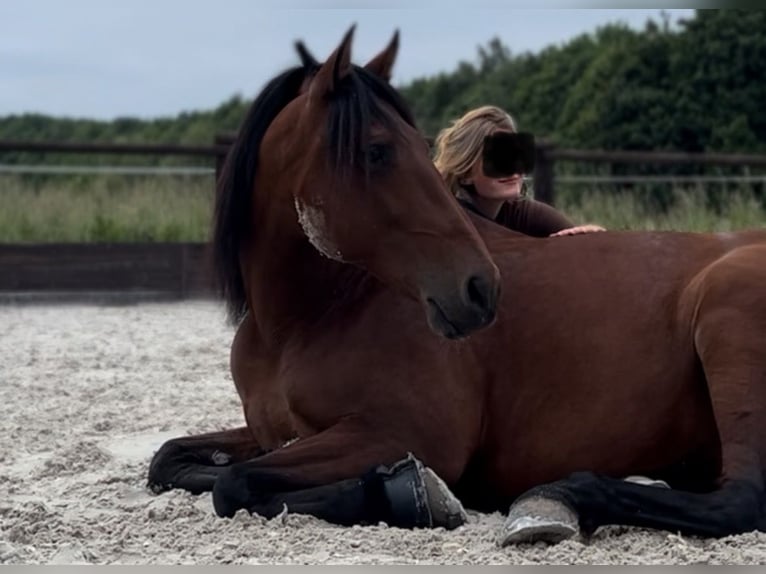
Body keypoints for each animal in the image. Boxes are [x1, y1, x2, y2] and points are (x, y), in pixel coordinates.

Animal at [148, 27, 766, 548]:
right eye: (377, 150)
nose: (479, 289)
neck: (312, 316)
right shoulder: (279, 432)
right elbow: (173, 461)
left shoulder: (402, 434)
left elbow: (236, 484)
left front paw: (411, 492)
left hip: (726, 322)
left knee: (740, 500)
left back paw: (558, 497)